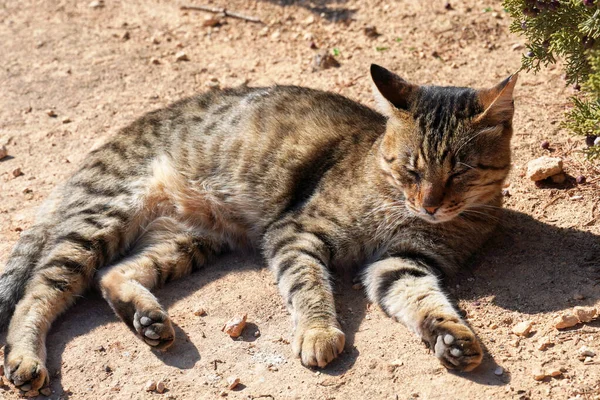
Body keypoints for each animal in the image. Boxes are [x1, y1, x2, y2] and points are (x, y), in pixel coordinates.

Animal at [0, 64, 516, 392]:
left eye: (460, 171)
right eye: (412, 168)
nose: (430, 205)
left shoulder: (404, 261)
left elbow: (425, 300)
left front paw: (450, 336)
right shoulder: (297, 232)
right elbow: (308, 285)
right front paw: (318, 332)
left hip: (187, 241)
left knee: (112, 275)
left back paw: (146, 319)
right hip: (102, 219)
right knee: (38, 293)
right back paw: (25, 358)